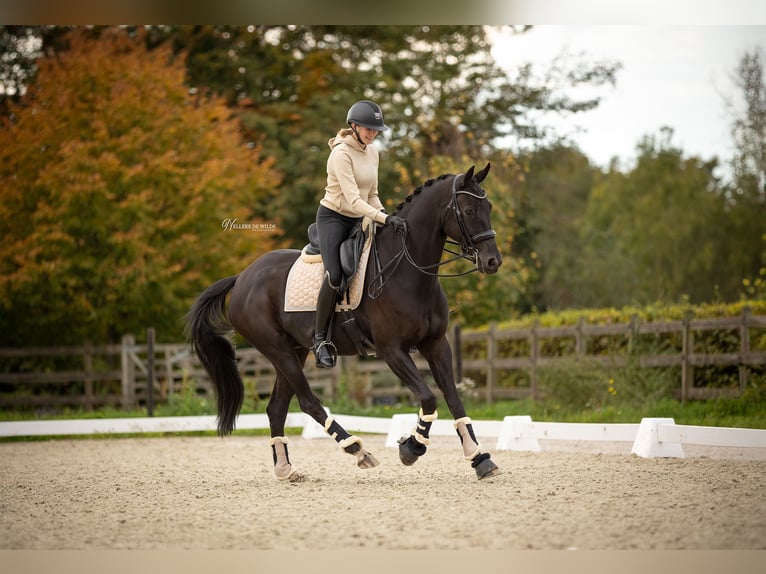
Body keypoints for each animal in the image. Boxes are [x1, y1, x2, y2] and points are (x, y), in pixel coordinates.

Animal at [188, 164, 504, 484]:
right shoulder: (392, 351)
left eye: (488, 207)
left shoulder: (437, 344)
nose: (493, 262)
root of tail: (242, 277)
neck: (409, 272)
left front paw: (480, 458)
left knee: (276, 408)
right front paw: (411, 447)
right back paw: (357, 449)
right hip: (278, 350)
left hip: (294, 351)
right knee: (308, 402)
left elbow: (454, 398)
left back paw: (286, 470)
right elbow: (428, 397)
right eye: (468, 209)